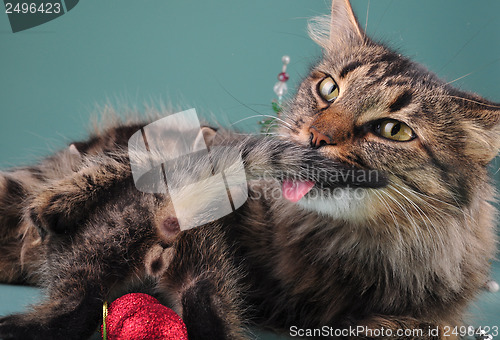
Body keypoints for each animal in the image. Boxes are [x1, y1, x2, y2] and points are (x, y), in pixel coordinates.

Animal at [0, 0, 500, 340]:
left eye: (394, 130)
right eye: (329, 89)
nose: (316, 137)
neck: (341, 248)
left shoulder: (433, 314)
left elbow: (422, 327)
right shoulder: (209, 146)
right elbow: (141, 162)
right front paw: (57, 201)